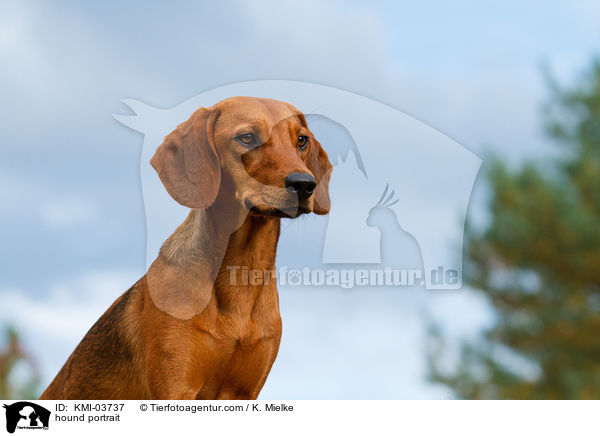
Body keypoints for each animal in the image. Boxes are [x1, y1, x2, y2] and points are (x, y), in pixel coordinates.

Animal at [39, 96, 332, 398]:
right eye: (247, 137)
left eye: (301, 140)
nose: (305, 184)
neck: (242, 275)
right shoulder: (176, 385)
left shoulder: (246, 391)